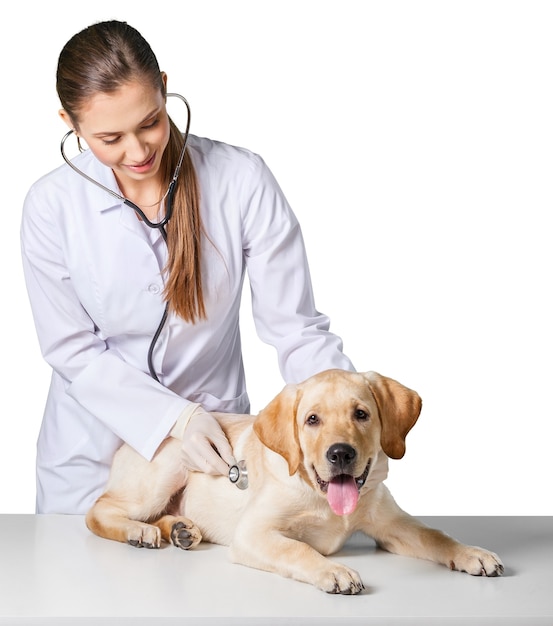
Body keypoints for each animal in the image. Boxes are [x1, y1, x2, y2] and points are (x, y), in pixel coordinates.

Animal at [87, 368, 504, 592]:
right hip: (166, 469)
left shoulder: (391, 523)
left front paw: (472, 553)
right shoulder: (254, 533)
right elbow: (298, 549)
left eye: (361, 414)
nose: (340, 454)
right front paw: (333, 570)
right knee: (99, 511)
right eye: (312, 420)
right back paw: (139, 531)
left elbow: (435, 534)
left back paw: (180, 529)